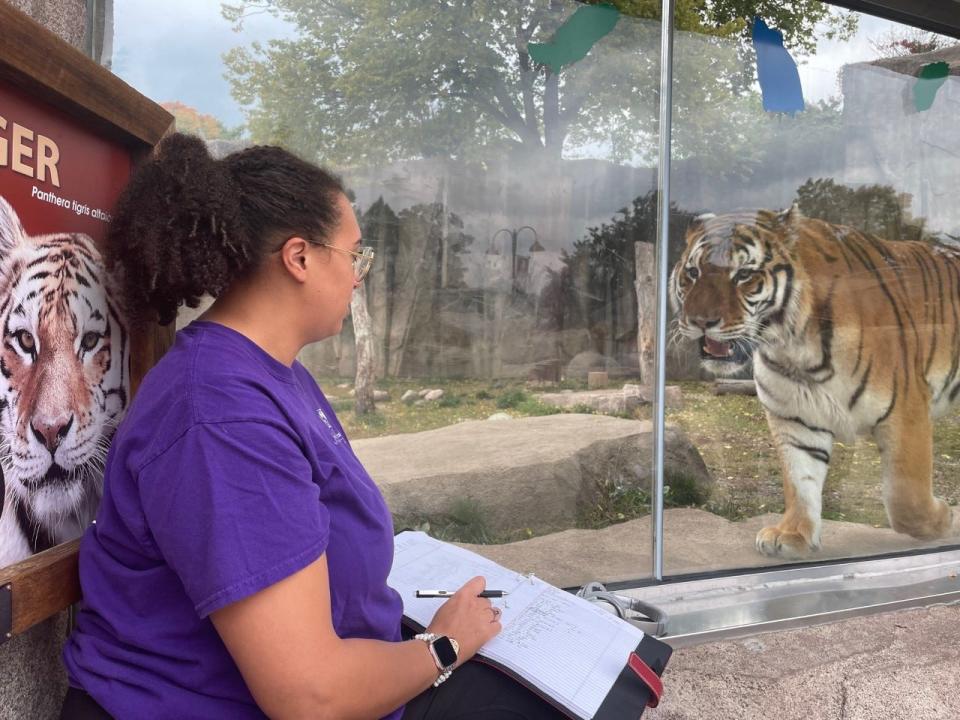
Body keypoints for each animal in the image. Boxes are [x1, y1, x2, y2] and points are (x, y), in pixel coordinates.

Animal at [672, 205, 956, 560]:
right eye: (693, 272)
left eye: (743, 274)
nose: (700, 321)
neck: (794, 347)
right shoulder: (795, 417)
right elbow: (800, 480)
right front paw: (792, 534)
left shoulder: (906, 410)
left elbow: (906, 498)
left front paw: (944, 519)